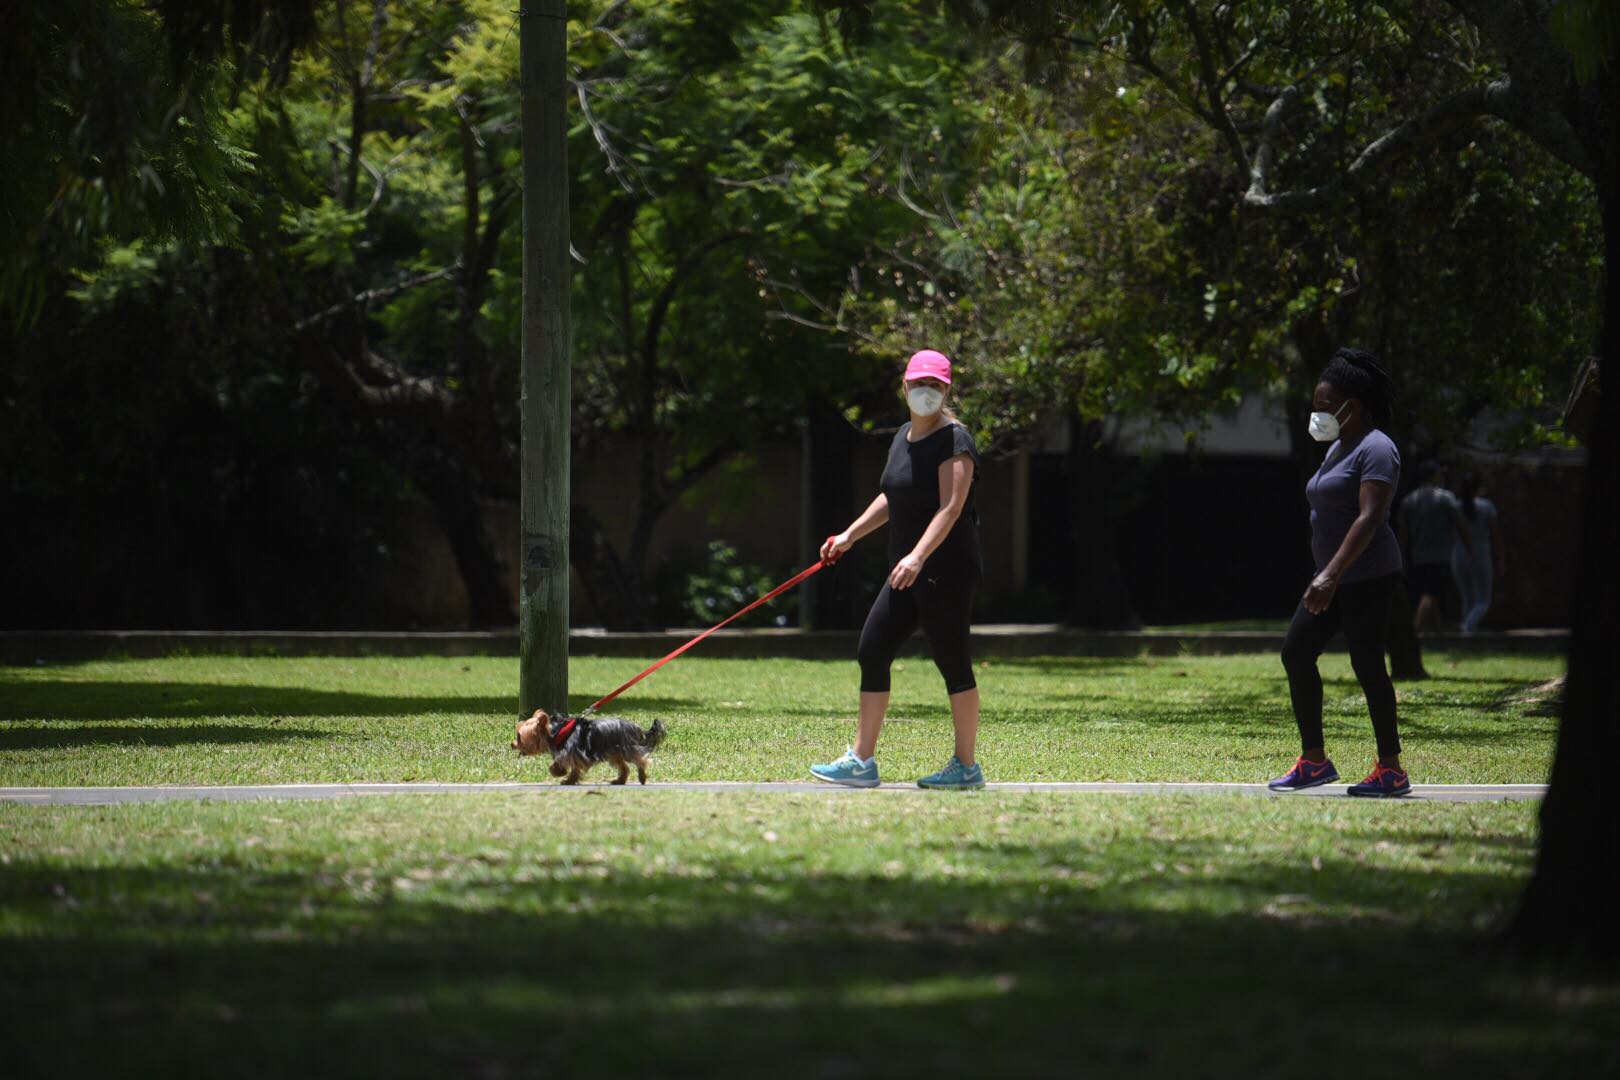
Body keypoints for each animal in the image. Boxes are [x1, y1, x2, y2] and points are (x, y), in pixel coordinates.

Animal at [511, 709, 664, 786]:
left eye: (519, 737)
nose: (512, 744)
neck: (557, 731)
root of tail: (637, 728)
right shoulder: (574, 755)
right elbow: (573, 768)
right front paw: (568, 779)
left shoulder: (573, 752)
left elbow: (562, 764)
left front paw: (560, 774)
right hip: (614, 753)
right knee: (624, 767)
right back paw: (619, 780)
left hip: (627, 748)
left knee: (641, 760)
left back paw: (642, 777)